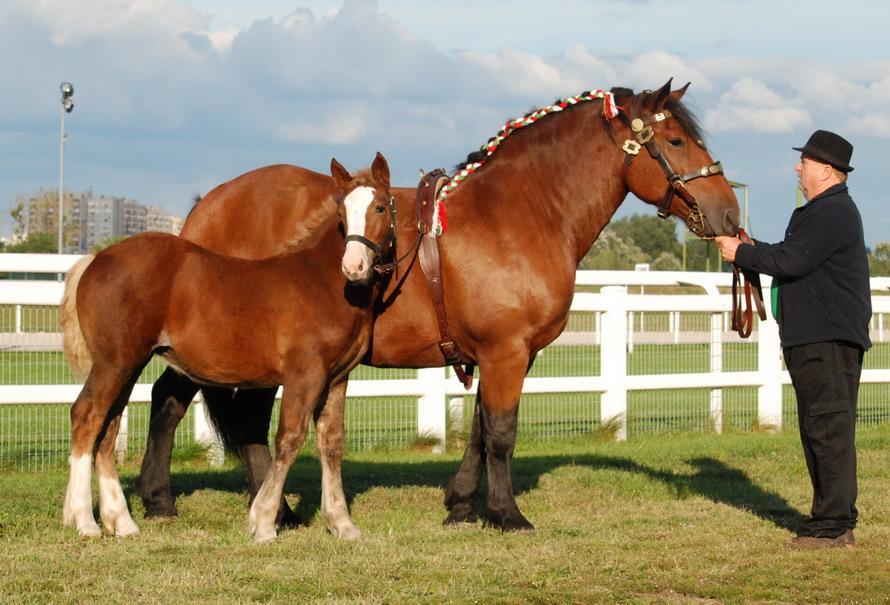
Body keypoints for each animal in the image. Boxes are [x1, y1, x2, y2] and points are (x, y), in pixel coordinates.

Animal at [60, 153, 394, 540]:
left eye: (381, 207)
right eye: (341, 212)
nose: (353, 266)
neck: (321, 282)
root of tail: (95, 260)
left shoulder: (337, 379)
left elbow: (332, 442)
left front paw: (342, 523)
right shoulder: (304, 374)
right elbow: (289, 438)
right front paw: (263, 523)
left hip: (126, 365)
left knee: (109, 426)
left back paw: (121, 521)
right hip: (115, 363)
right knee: (87, 416)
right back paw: (85, 521)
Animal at [137, 81, 736, 532]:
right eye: (676, 140)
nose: (729, 213)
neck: (520, 211)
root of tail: (208, 206)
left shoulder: (506, 353)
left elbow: (480, 427)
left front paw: (462, 505)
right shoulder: (506, 350)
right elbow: (501, 433)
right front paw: (507, 514)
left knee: (191, 405)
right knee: (187, 405)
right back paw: (212, 504)